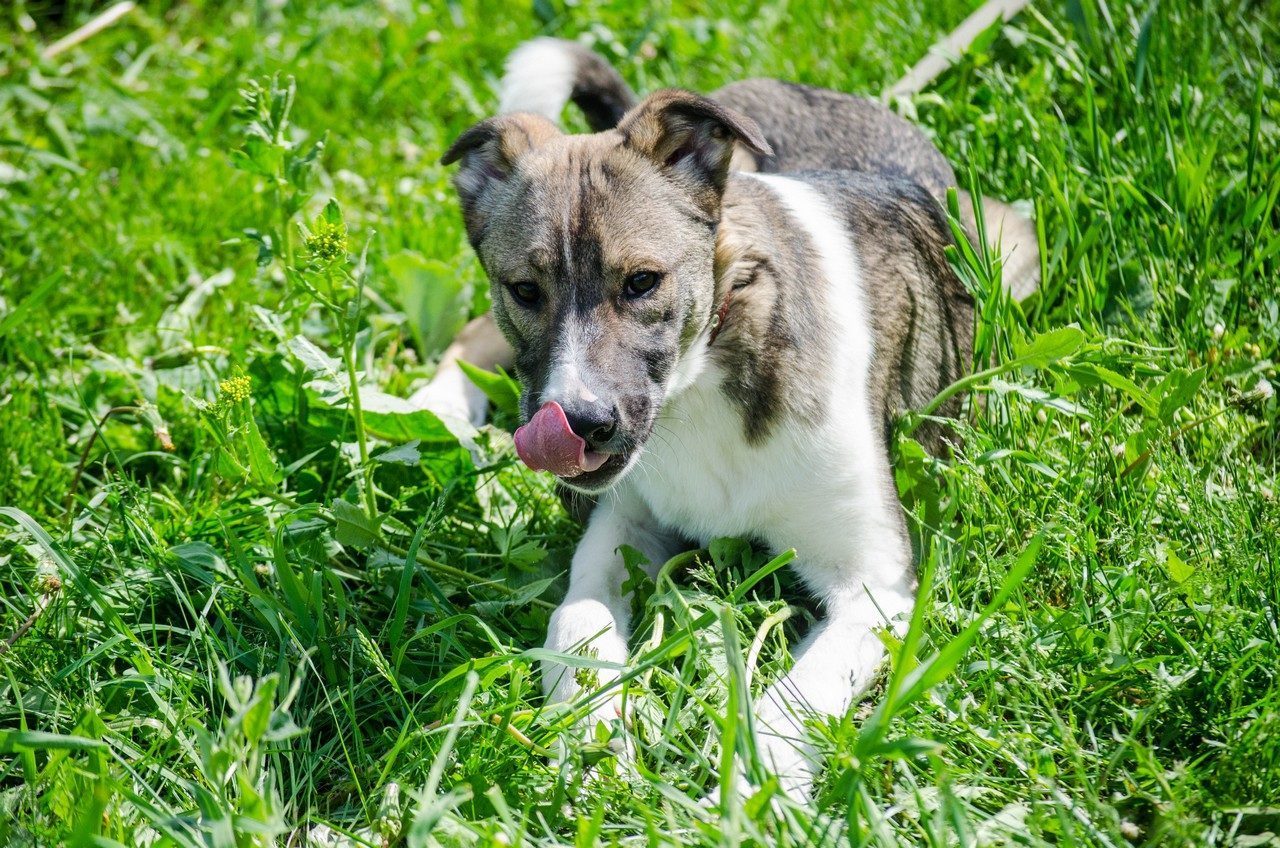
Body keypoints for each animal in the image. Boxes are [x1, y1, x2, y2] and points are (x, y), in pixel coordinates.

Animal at [430, 34, 1039, 804]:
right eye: (526, 290)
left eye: (642, 282)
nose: (580, 425)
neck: (702, 381)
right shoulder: (622, 521)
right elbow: (577, 618)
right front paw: (593, 734)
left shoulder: (876, 586)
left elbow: (794, 698)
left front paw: (754, 798)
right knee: (472, 331)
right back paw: (427, 407)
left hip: (1012, 249)